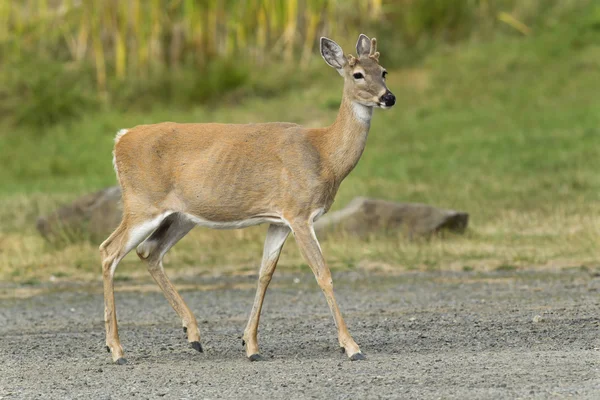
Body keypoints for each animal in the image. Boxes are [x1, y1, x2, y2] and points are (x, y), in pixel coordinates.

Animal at [101, 34, 396, 364]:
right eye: (357, 74)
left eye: (383, 71)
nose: (388, 98)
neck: (324, 154)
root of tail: (120, 139)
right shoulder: (299, 213)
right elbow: (323, 274)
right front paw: (352, 346)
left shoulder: (279, 219)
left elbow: (264, 274)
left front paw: (251, 345)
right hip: (142, 203)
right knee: (109, 251)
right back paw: (116, 349)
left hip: (181, 216)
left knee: (148, 251)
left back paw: (193, 335)